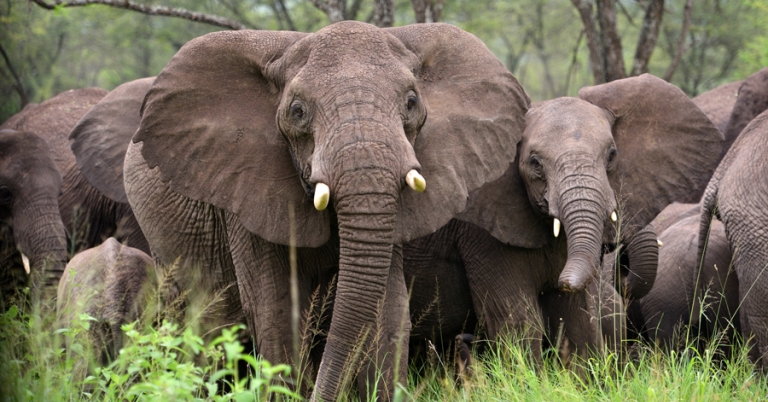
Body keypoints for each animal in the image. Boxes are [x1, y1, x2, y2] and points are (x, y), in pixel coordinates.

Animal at [123, 22, 528, 401]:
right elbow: (277, 311)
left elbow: (387, 310)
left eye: (412, 102)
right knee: (206, 326)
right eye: (297, 111)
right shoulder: (244, 189)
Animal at [404, 74, 722, 365]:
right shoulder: (480, 236)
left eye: (612, 155)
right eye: (535, 163)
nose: (618, 261)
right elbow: (518, 321)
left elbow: (576, 320)